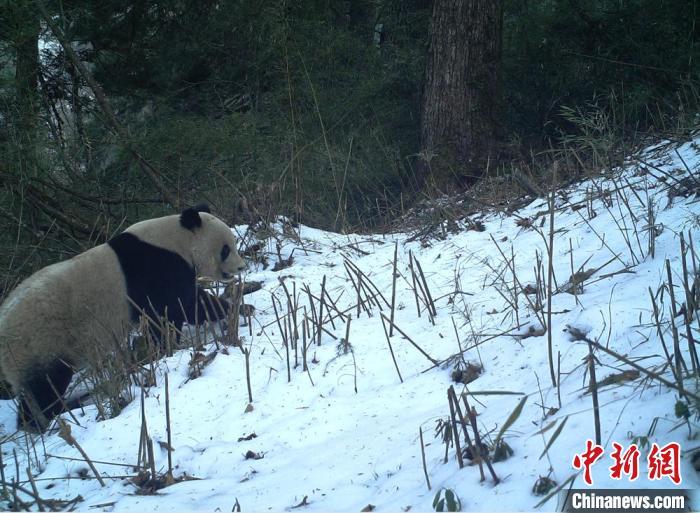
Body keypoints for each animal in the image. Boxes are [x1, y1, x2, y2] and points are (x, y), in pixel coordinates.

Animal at [0, 204, 246, 432]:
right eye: (225, 249)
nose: (241, 267)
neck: (177, 239)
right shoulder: (158, 268)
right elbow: (180, 306)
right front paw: (235, 309)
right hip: (40, 341)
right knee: (45, 387)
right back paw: (52, 416)